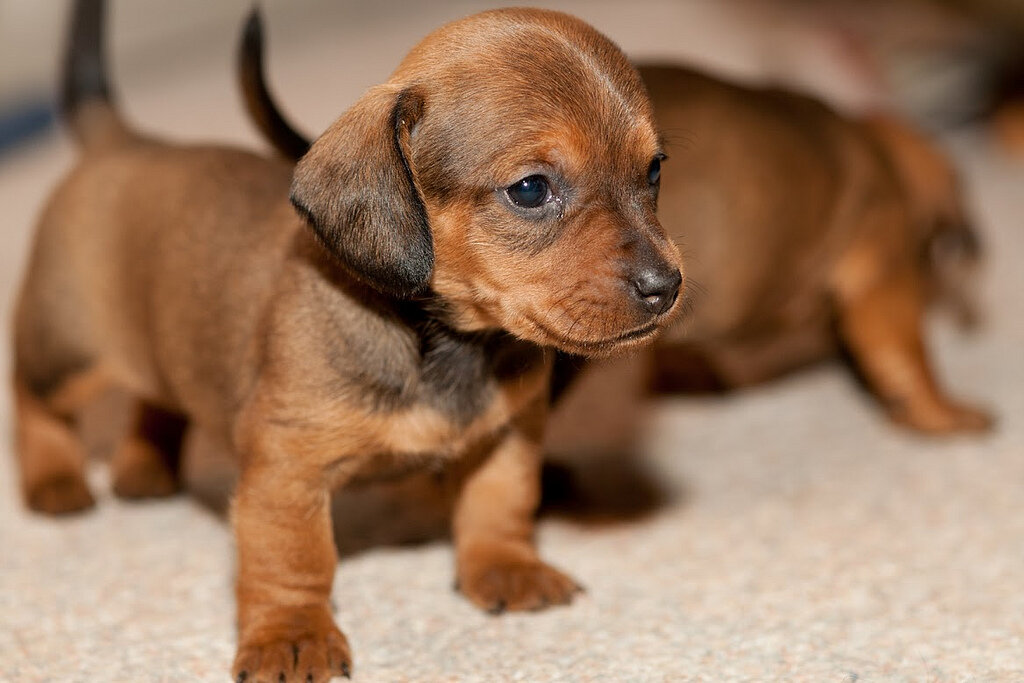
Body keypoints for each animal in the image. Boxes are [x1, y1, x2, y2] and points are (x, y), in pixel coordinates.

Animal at [12, 2, 684, 679]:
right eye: (530, 189)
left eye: (653, 170)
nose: (667, 286)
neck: (443, 342)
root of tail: (124, 141)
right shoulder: (287, 469)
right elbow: (294, 559)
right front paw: (291, 634)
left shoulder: (509, 430)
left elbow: (501, 501)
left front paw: (507, 567)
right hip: (63, 352)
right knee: (30, 396)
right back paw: (54, 479)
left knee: (159, 399)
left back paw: (144, 465)